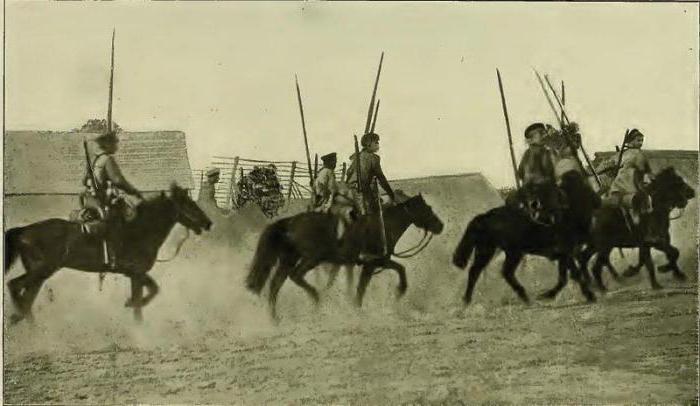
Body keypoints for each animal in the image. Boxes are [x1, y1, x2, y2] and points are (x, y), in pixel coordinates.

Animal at [3, 184, 211, 324]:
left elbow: (152, 290)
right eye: (190, 204)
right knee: (14, 286)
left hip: (40, 274)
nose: (208, 223)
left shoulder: (135, 274)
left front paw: (131, 306)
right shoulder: (137, 274)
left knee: (27, 300)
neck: (140, 231)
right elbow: (143, 300)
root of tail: (24, 230)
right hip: (41, 270)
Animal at [245, 193, 442, 320]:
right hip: (312, 258)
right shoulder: (372, 263)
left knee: (276, 284)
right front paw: (359, 308)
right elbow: (363, 287)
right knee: (295, 276)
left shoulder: (379, 262)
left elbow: (398, 269)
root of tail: (290, 222)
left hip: (289, 259)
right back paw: (317, 300)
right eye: (428, 208)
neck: (384, 224)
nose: (440, 226)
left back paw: (275, 318)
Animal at [452, 171, 600, 308]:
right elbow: (573, 275)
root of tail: (485, 216)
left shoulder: (565, 255)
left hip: (500, 251)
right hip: (499, 251)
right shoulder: (566, 253)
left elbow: (565, 278)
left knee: (496, 272)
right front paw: (589, 296)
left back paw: (523, 297)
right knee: (482, 271)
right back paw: (468, 300)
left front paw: (549, 295)